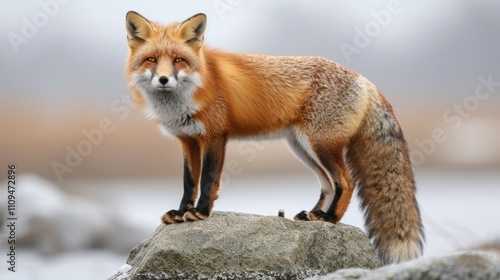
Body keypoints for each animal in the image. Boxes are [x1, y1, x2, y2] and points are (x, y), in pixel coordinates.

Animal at [124, 11, 422, 264]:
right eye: (151, 60)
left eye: (178, 60)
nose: (163, 79)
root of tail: (364, 79)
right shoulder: (187, 139)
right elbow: (189, 182)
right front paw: (180, 212)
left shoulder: (214, 136)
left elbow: (207, 180)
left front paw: (201, 212)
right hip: (302, 148)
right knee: (328, 184)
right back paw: (313, 215)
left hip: (320, 145)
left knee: (346, 182)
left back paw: (329, 218)